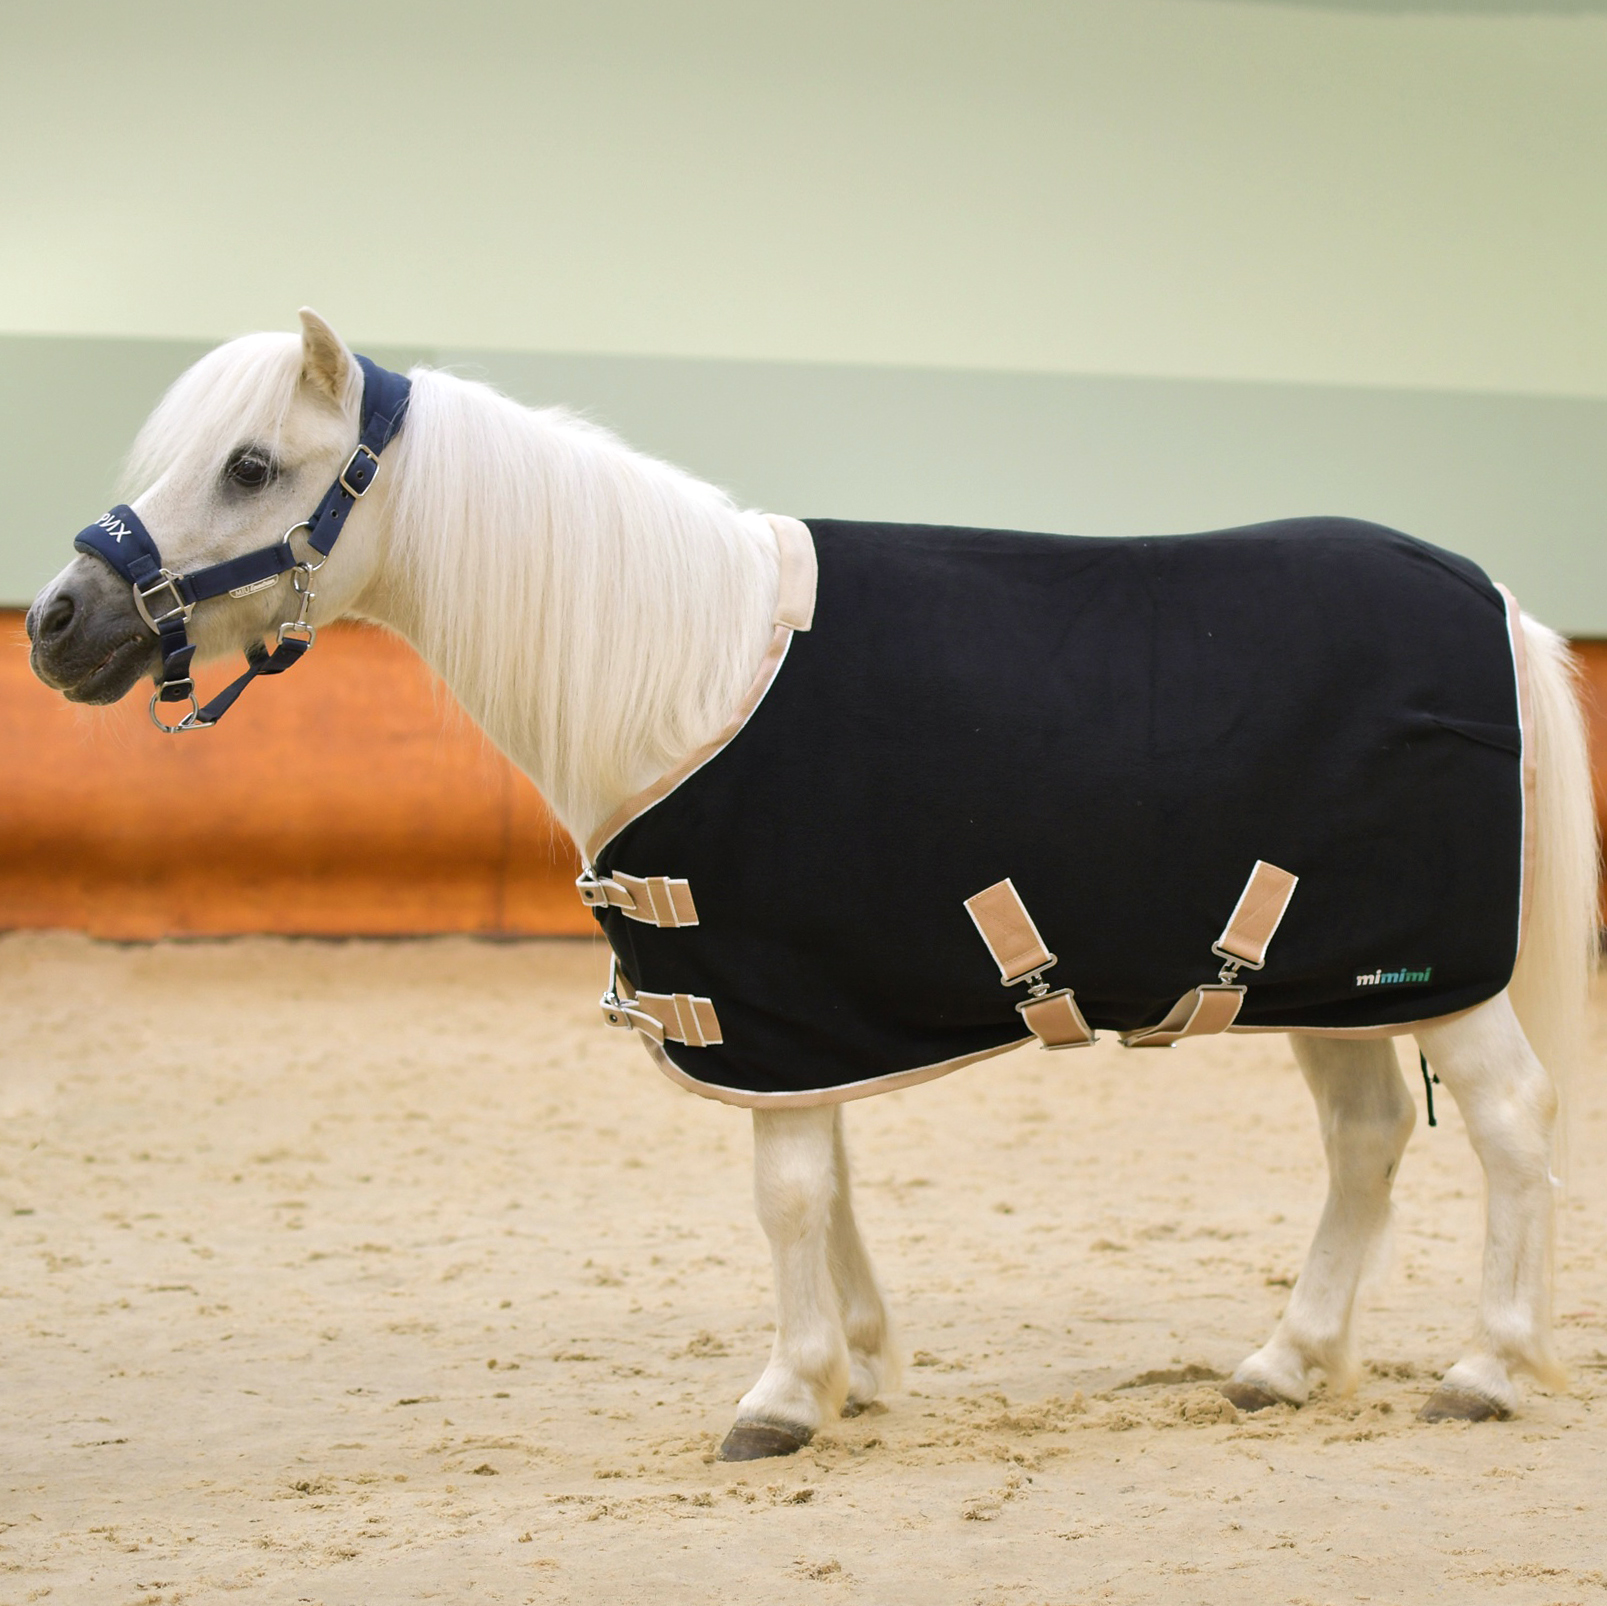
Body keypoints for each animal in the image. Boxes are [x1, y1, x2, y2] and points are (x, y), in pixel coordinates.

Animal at [26, 310, 1596, 1460]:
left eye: (247, 465)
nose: (56, 622)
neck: (681, 668)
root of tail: (1496, 602)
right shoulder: (797, 1013)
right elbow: (826, 1184)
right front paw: (861, 1366)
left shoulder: (766, 990)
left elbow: (784, 1193)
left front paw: (783, 1396)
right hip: (1319, 974)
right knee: (1366, 1140)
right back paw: (1285, 1360)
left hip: (1435, 980)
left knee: (1506, 1124)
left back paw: (1483, 1368)